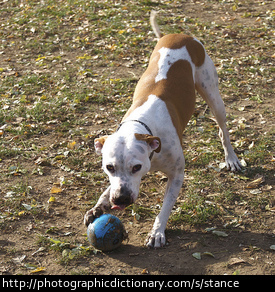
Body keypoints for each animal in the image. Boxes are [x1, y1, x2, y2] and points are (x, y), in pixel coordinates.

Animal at [83, 12, 242, 249]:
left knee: (223, 130)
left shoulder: (177, 174)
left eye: (136, 167)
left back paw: (231, 158)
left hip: (213, 95)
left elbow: (165, 207)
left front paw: (157, 232)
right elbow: (109, 188)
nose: (121, 199)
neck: (141, 126)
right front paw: (99, 204)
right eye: (109, 167)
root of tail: (180, 35)